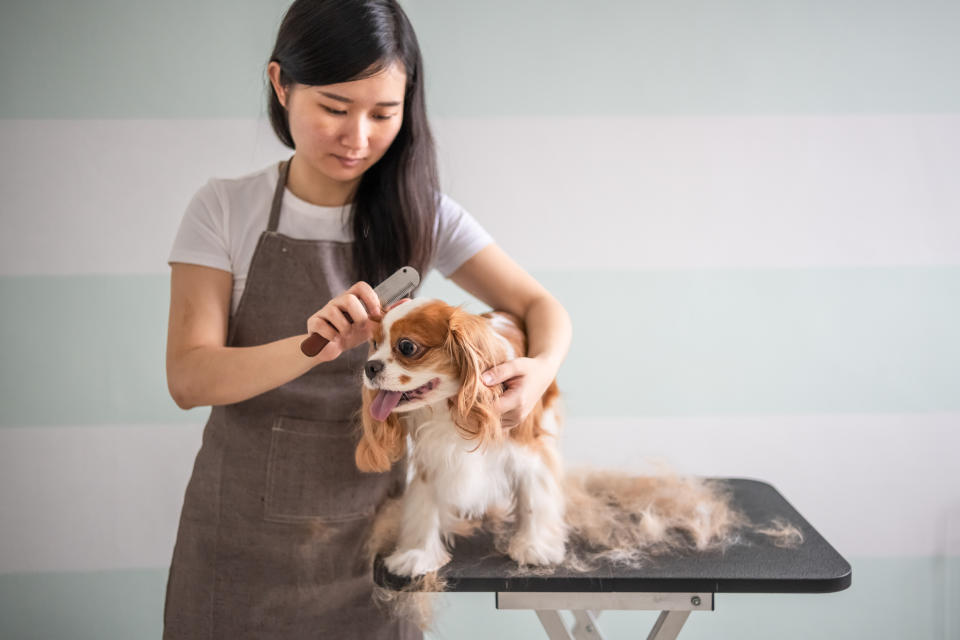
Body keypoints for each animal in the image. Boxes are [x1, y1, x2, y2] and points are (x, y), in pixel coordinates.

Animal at [352, 298, 568, 576]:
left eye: (407, 347)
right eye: (375, 344)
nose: (369, 366)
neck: (449, 408)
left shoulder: (527, 448)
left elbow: (534, 496)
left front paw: (534, 546)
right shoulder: (431, 456)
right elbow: (424, 506)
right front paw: (418, 554)